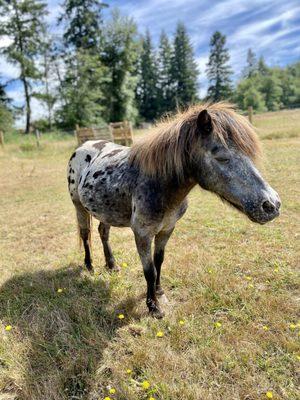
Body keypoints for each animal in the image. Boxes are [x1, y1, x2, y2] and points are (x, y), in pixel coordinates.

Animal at [68, 103, 282, 318]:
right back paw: (89, 266)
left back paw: (112, 265)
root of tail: (83, 146)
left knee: (103, 233)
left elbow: (159, 261)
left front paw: (159, 292)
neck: (159, 184)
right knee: (85, 234)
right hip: (79, 206)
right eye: (221, 157)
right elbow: (149, 270)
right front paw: (153, 307)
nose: (271, 205)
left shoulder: (167, 229)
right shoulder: (142, 233)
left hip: (105, 211)